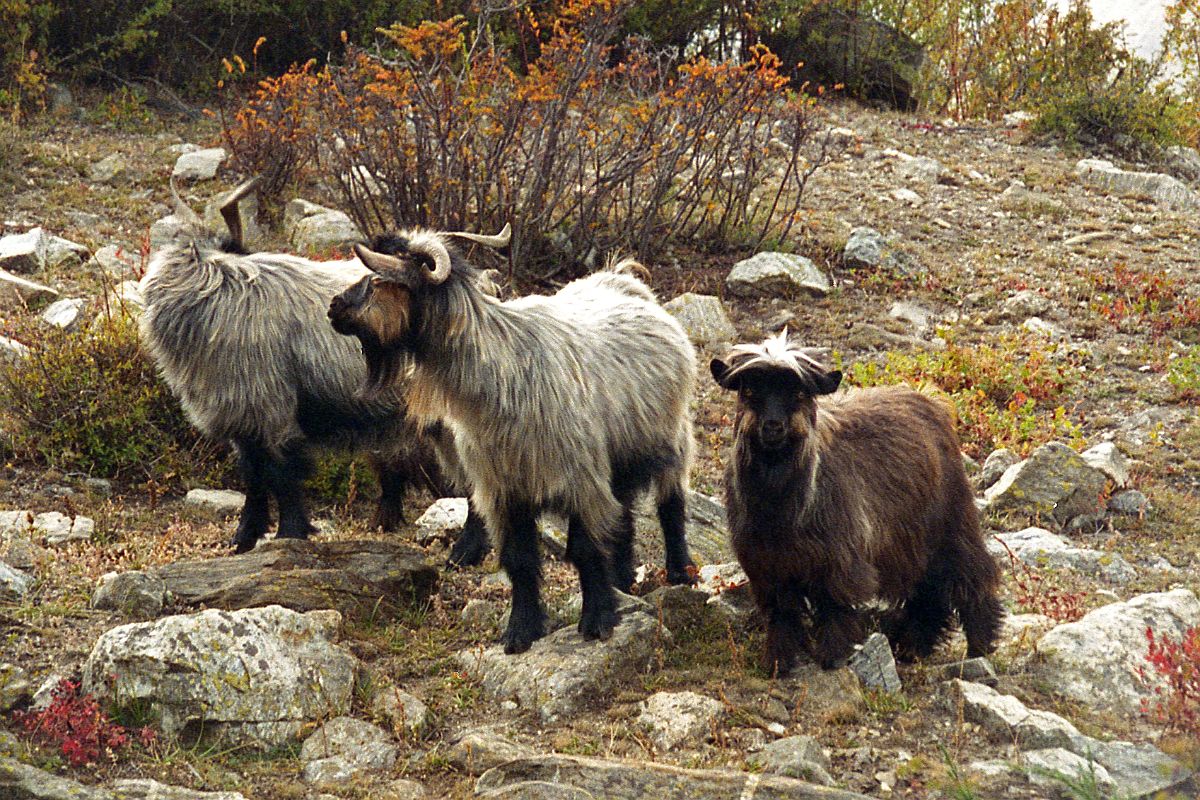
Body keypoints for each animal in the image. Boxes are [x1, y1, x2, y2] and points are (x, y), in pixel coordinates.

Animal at [144, 181, 487, 556]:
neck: (226, 289)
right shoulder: (243, 419)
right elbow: (253, 477)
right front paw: (244, 539)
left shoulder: (272, 412)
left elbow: (281, 475)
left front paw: (289, 533)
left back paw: (466, 552)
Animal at [328, 227, 700, 652]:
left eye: (379, 280)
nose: (334, 306)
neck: (504, 370)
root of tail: (626, 281)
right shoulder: (504, 489)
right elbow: (519, 560)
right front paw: (521, 631)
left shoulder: (581, 480)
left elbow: (585, 550)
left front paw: (597, 620)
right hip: (619, 456)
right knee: (622, 513)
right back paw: (622, 577)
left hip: (671, 437)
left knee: (671, 503)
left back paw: (680, 571)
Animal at [710, 331, 1003, 676]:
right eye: (750, 390)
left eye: (799, 392)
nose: (772, 426)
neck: (780, 510)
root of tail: (932, 402)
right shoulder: (767, 567)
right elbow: (782, 614)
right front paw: (779, 663)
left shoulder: (839, 559)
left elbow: (836, 606)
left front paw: (832, 657)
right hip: (914, 542)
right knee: (927, 593)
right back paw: (913, 647)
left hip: (952, 523)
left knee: (971, 575)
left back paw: (979, 646)